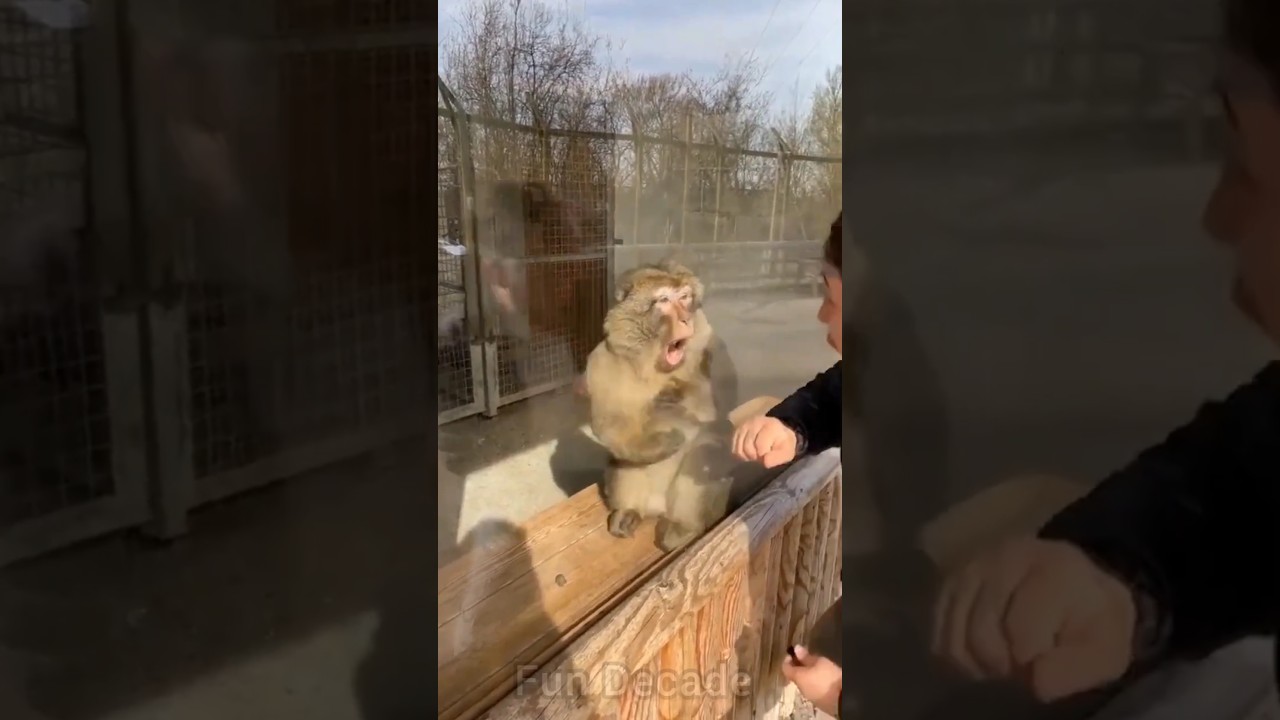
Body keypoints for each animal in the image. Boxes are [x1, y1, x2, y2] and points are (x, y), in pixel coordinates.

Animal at [583, 260, 736, 553]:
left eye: (685, 297)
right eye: (664, 300)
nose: (685, 319)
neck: (657, 367)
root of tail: (660, 507)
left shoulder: (713, 344)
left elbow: (722, 408)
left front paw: (682, 394)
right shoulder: (603, 358)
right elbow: (610, 424)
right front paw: (666, 441)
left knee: (706, 452)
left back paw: (682, 527)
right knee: (623, 461)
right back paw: (630, 511)